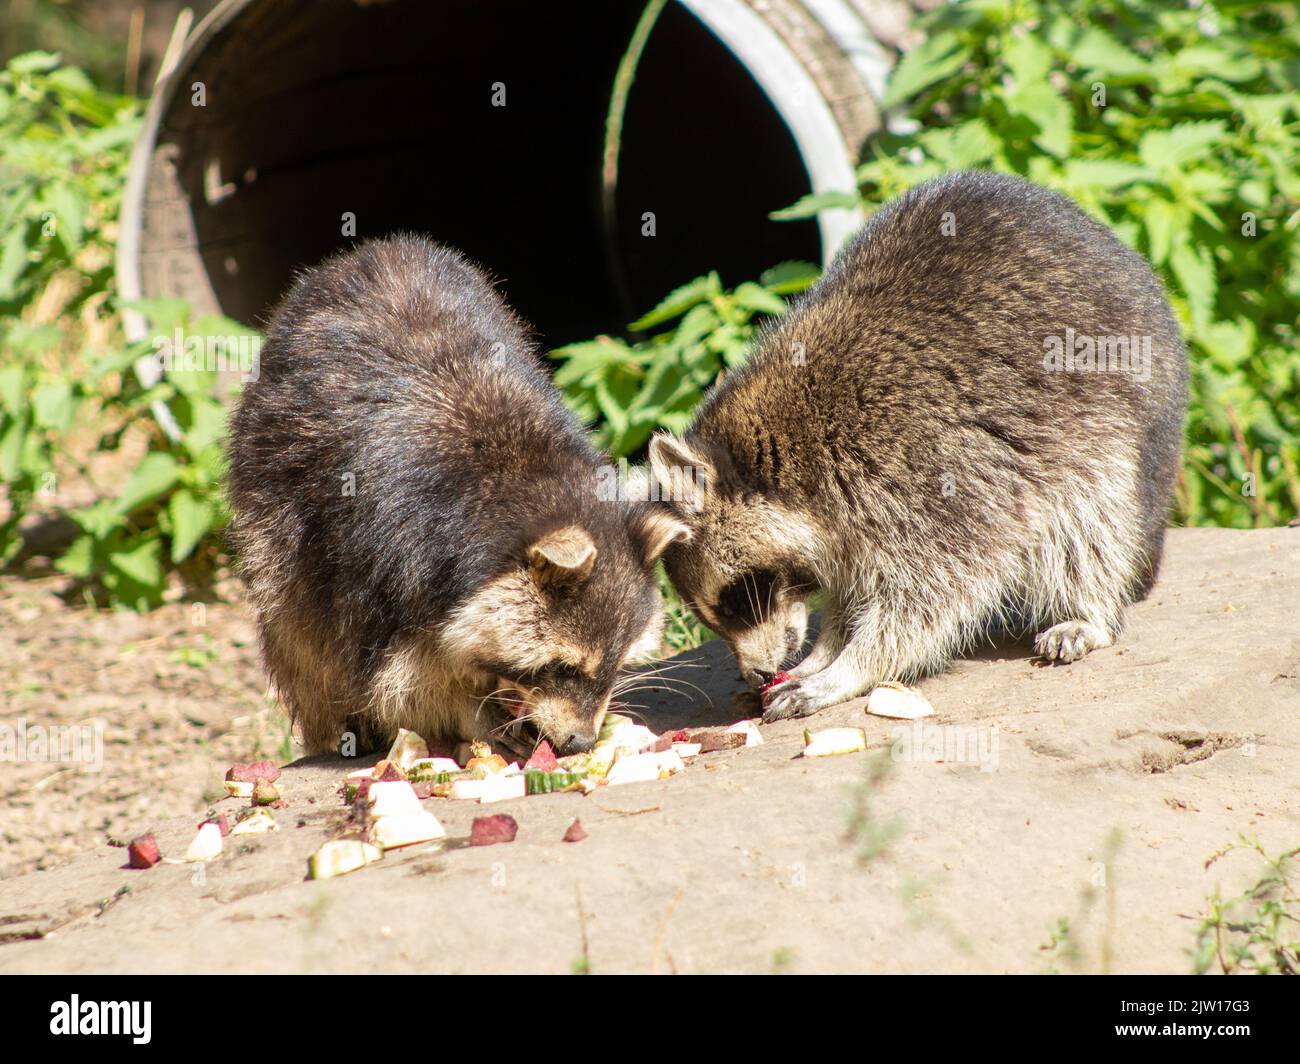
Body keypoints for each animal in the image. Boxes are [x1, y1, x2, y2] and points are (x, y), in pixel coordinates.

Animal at [230, 236, 691, 759]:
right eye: (561, 667)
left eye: (615, 664)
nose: (579, 742)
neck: (533, 479)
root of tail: (371, 251)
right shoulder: (379, 549)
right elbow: (400, 674)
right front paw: (473, 713)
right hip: (272, 487)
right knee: (296, 622)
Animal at [647, 171, 1190, 723]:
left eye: (737, 599)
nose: (757, 672)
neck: (794, 456)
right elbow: (854, 586)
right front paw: (826, 650)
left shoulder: (922, 467)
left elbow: (928, 595)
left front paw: (850, 667)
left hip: (1110, 417)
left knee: (1090, 518)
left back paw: (1088, 610)